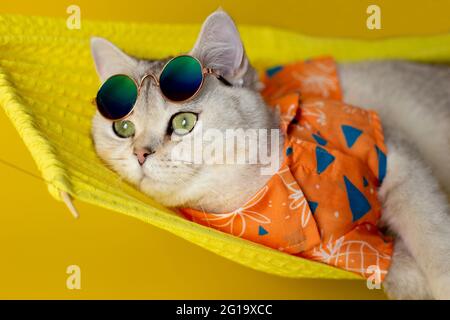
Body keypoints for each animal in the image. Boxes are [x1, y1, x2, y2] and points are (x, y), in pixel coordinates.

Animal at [89, 10, 450, 300]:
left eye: (183, 122)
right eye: (123, 128)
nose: (140, 153)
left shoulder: (398, 158)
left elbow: (432, 236)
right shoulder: (339, 248)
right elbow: (390, 262)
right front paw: (410, 278)